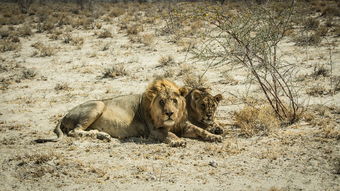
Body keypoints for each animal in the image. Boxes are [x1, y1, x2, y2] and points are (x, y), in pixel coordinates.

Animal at [35, 78, 222, 147]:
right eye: (161, 102)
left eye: (174, 100)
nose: (169, 113)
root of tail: (65, 114)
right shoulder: (154, 131)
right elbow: (169, 135)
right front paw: (178, 141)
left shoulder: (184, 126)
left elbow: (200, 130)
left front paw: (215, 136)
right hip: (97, 105)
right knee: (75, 131)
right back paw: (101, 135)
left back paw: (102, 135)